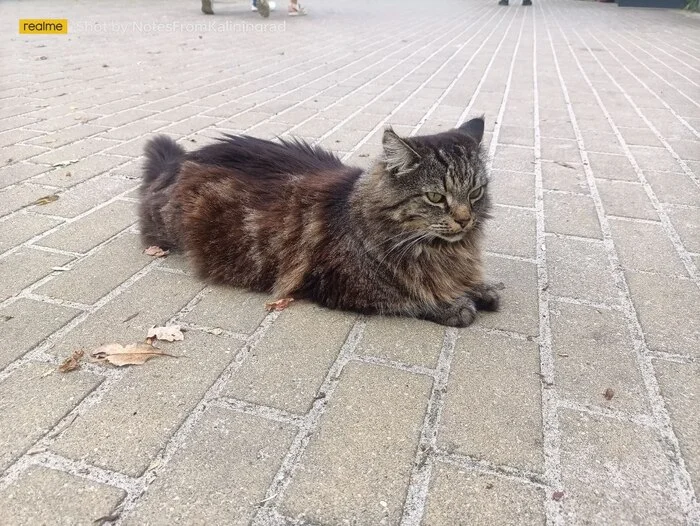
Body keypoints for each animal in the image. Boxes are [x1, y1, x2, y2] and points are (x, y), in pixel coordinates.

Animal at [138, 117, 498, 328]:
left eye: (475, 193)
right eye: (436, 197)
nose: (465, 219)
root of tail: (178, 161)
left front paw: (479, 287)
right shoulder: (343, 285)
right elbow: (410, 296)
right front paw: (453, 305)